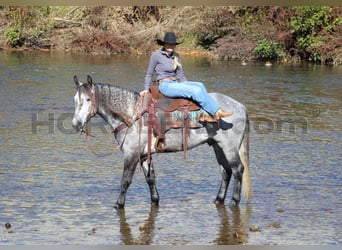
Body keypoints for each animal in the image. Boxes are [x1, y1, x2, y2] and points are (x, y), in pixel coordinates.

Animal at [71, 75, 251, 208]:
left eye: (88, 99)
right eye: (75, 100)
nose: (76, 124)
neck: (132, 114)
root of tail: (240, 107)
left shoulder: (131, 154)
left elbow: (125, 181)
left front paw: (118, 204)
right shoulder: (144, 156)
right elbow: (151, 178)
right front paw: (155, 200)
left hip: (229, 148)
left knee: (237, 170)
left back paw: (234, 201)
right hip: (217, 147)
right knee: (226, 172)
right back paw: (218, 199)